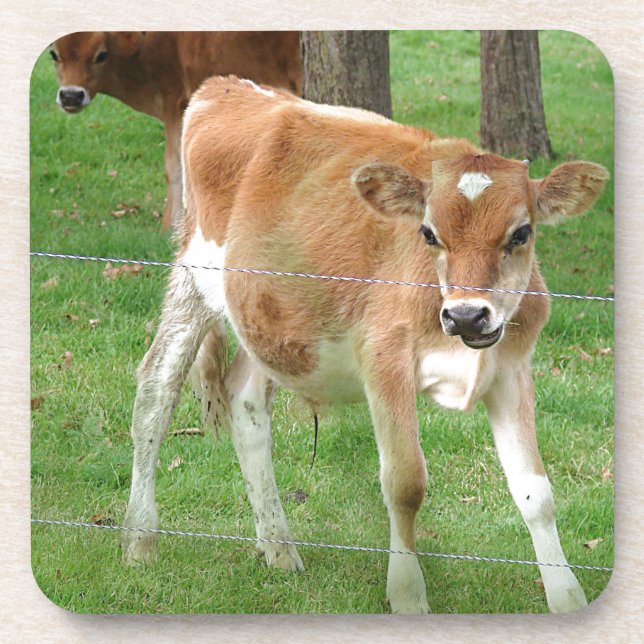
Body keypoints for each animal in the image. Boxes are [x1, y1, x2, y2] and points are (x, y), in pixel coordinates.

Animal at [48, 31, 302, 230]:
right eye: (54, 54)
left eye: (101, 55)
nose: (71, 96)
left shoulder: (174, 100)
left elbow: (174, 166)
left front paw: (168, 227)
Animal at [120, 76, 609, 613]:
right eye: (428, 233)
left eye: (521, 233)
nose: (466, 314)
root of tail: (225, 86)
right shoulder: (384, 363)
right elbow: (405, 483)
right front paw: (408, 594)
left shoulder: (512, 371)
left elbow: (536, 493)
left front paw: (567, 597)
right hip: (195, 276)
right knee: (155, 391)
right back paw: (140, 537)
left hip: (265, 315)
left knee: (245, 403)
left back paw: (278, 547)